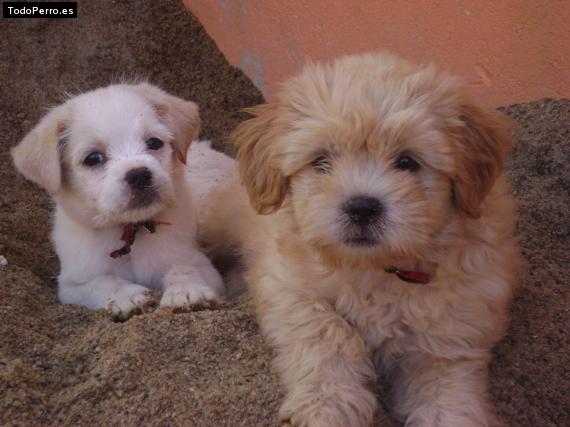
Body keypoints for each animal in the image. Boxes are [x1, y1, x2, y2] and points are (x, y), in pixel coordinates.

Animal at [11, 83, 224, 318]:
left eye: (154, 142)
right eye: (93, 158)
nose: (139, 175)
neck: (130, 233)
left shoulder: (203, 265)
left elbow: (184, 268)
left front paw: (186, 290)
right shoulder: (72, 286)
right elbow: (103, 282)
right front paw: (126, 296)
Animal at [203, 54, 516, 427]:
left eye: (407, 161)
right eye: (321, 161)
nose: (362, 208)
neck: (374, 268)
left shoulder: (452, 330)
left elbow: (448, 391)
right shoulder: (287, 286)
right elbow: (328, 333)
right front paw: (327, 405)